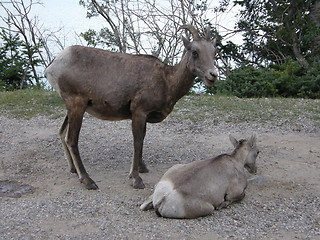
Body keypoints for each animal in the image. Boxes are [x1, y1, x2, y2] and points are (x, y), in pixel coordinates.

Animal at [44, 24, 218, 189]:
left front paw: (142, 168)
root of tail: (53, 66)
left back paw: (73, 170)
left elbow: (142, 140)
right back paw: (88, 181)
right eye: (194, 52)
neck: (167, 81)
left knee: (62, 133)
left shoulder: (144, 116)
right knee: (71, 140)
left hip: (73, 108)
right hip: (77, 105)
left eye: (214, 52)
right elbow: (137, 141)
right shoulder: (139, 112)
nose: (213, 75)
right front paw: (136, 179)